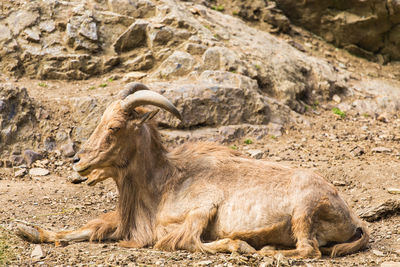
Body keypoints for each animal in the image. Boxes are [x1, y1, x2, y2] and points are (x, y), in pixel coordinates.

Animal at [18, 82, 368, 258]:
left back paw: (270, 253)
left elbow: (183, 241)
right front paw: (30, 231)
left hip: (303, 211)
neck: (163, 183)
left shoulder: (202, 209)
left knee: (310, 250)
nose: (78, 160)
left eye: (114, 127)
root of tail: (352, 218)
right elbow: (85, 228)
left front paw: (239, 245)